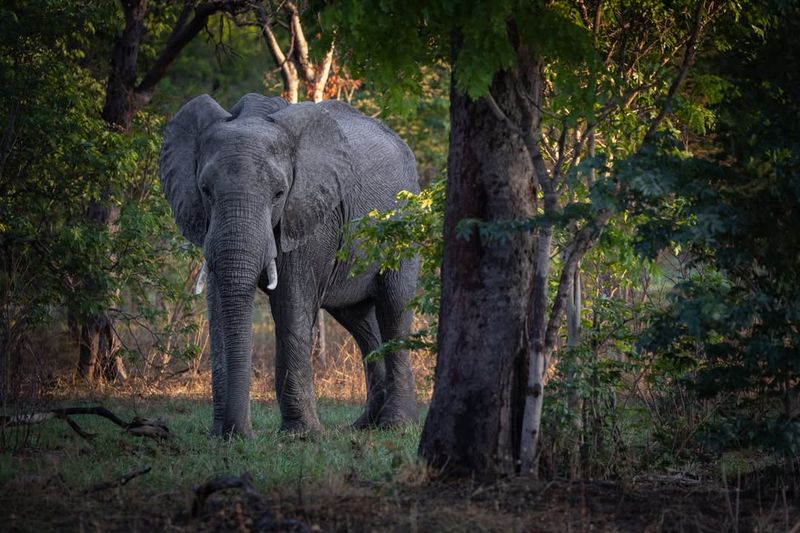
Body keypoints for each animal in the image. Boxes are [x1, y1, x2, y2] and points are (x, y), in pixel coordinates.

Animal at [157, 93, 418, 434]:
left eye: (279, 193)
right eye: (205, 190)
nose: (242, 433)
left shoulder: (313, 215)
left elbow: (291, 304)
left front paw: (300, 434)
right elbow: (219, 302)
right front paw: (221, 435)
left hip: (403, 227)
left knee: (393, 309)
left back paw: (395, 426)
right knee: (361, 323)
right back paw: (363, 426)